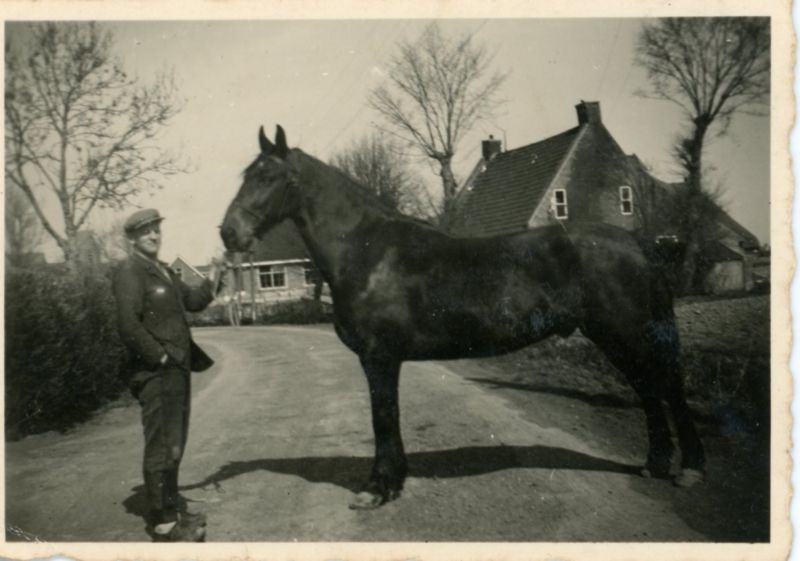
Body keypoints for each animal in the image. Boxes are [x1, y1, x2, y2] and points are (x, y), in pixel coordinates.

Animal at [220, 125, 705, 509]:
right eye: (245, 175)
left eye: (270, 176)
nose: (229, 233)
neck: (367, 251)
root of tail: (637, 243)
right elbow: (387, 419)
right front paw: (392, 483)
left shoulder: (379, 358)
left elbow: (383, 418)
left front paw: (377, 489)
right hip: (615, 337)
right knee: (649, 391)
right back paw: (654, 465)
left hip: (630, 333)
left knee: (667, 388)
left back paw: (690, 470)